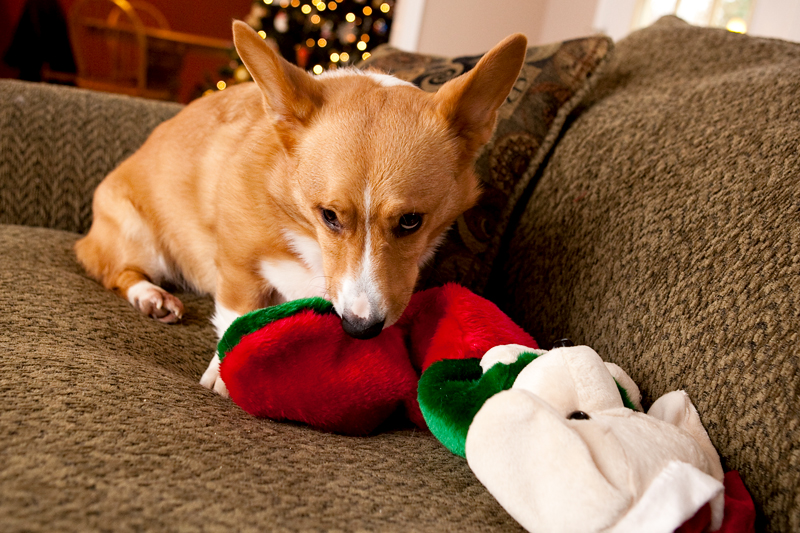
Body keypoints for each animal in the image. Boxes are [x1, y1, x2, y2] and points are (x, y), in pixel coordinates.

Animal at [73, 21, 524, 394]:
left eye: (411, 222)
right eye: (329, 216)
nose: (360, 329)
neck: (303, 230)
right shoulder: (237, 266)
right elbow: (236, 317)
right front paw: (222, 375)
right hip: (139, 236)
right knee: (112, 270)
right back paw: (151, 296)